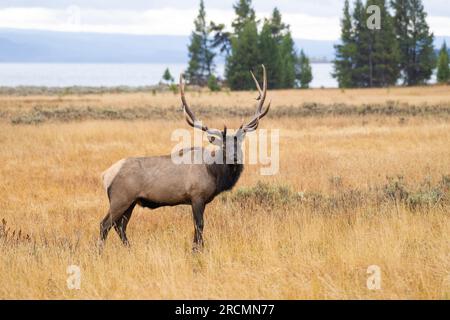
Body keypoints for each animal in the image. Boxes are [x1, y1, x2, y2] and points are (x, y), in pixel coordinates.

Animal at [99, 64, 270, 250]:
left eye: (239, 144)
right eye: (223, 146)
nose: (235, 158)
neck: (214, 173)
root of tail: (106, 175)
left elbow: (197, 226)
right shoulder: (196, 196)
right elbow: (199, 225)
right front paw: (197, 249)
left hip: (131, 201)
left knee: (120, 226)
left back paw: (129, 249)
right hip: (120, 198)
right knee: (105, 224)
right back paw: (100, 252)